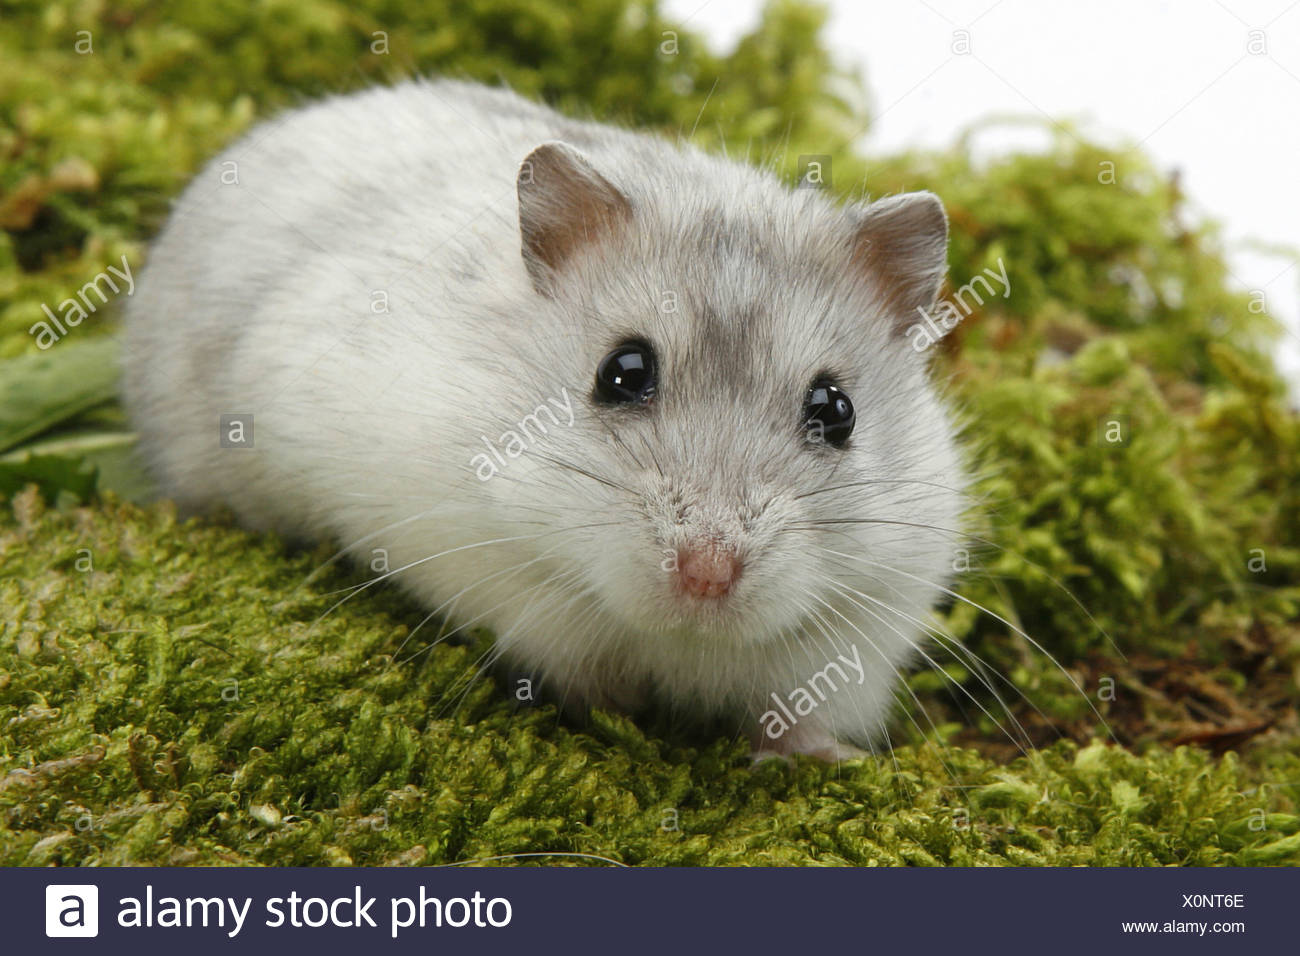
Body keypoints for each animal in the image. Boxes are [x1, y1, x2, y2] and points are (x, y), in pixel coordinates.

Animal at [122, 78, 965, 761]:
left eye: (836, 411)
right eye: (622, 372)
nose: (707, 573)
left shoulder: (863, 629)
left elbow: (795, 715)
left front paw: (830, 757)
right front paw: (617, 712)